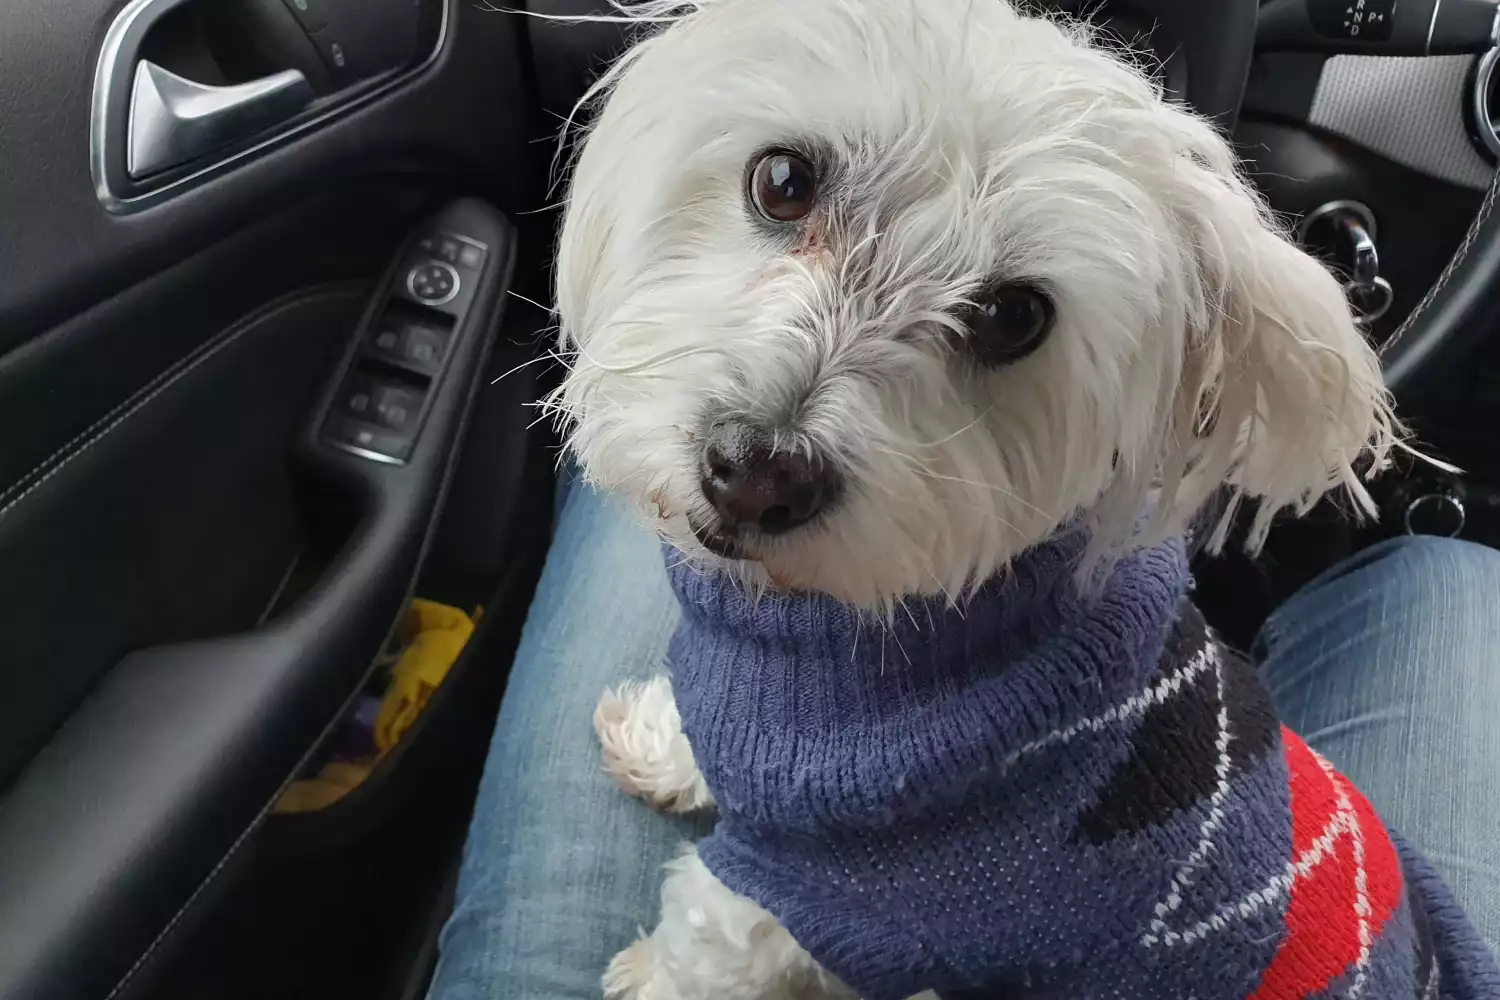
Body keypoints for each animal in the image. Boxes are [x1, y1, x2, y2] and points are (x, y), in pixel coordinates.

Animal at [546, 1, 1398, 1000]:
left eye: (1012, 317)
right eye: (783, 181)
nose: (756, 474)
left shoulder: (825, 894)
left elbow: (706, 944)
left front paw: (649, 972)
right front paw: (661, 740)